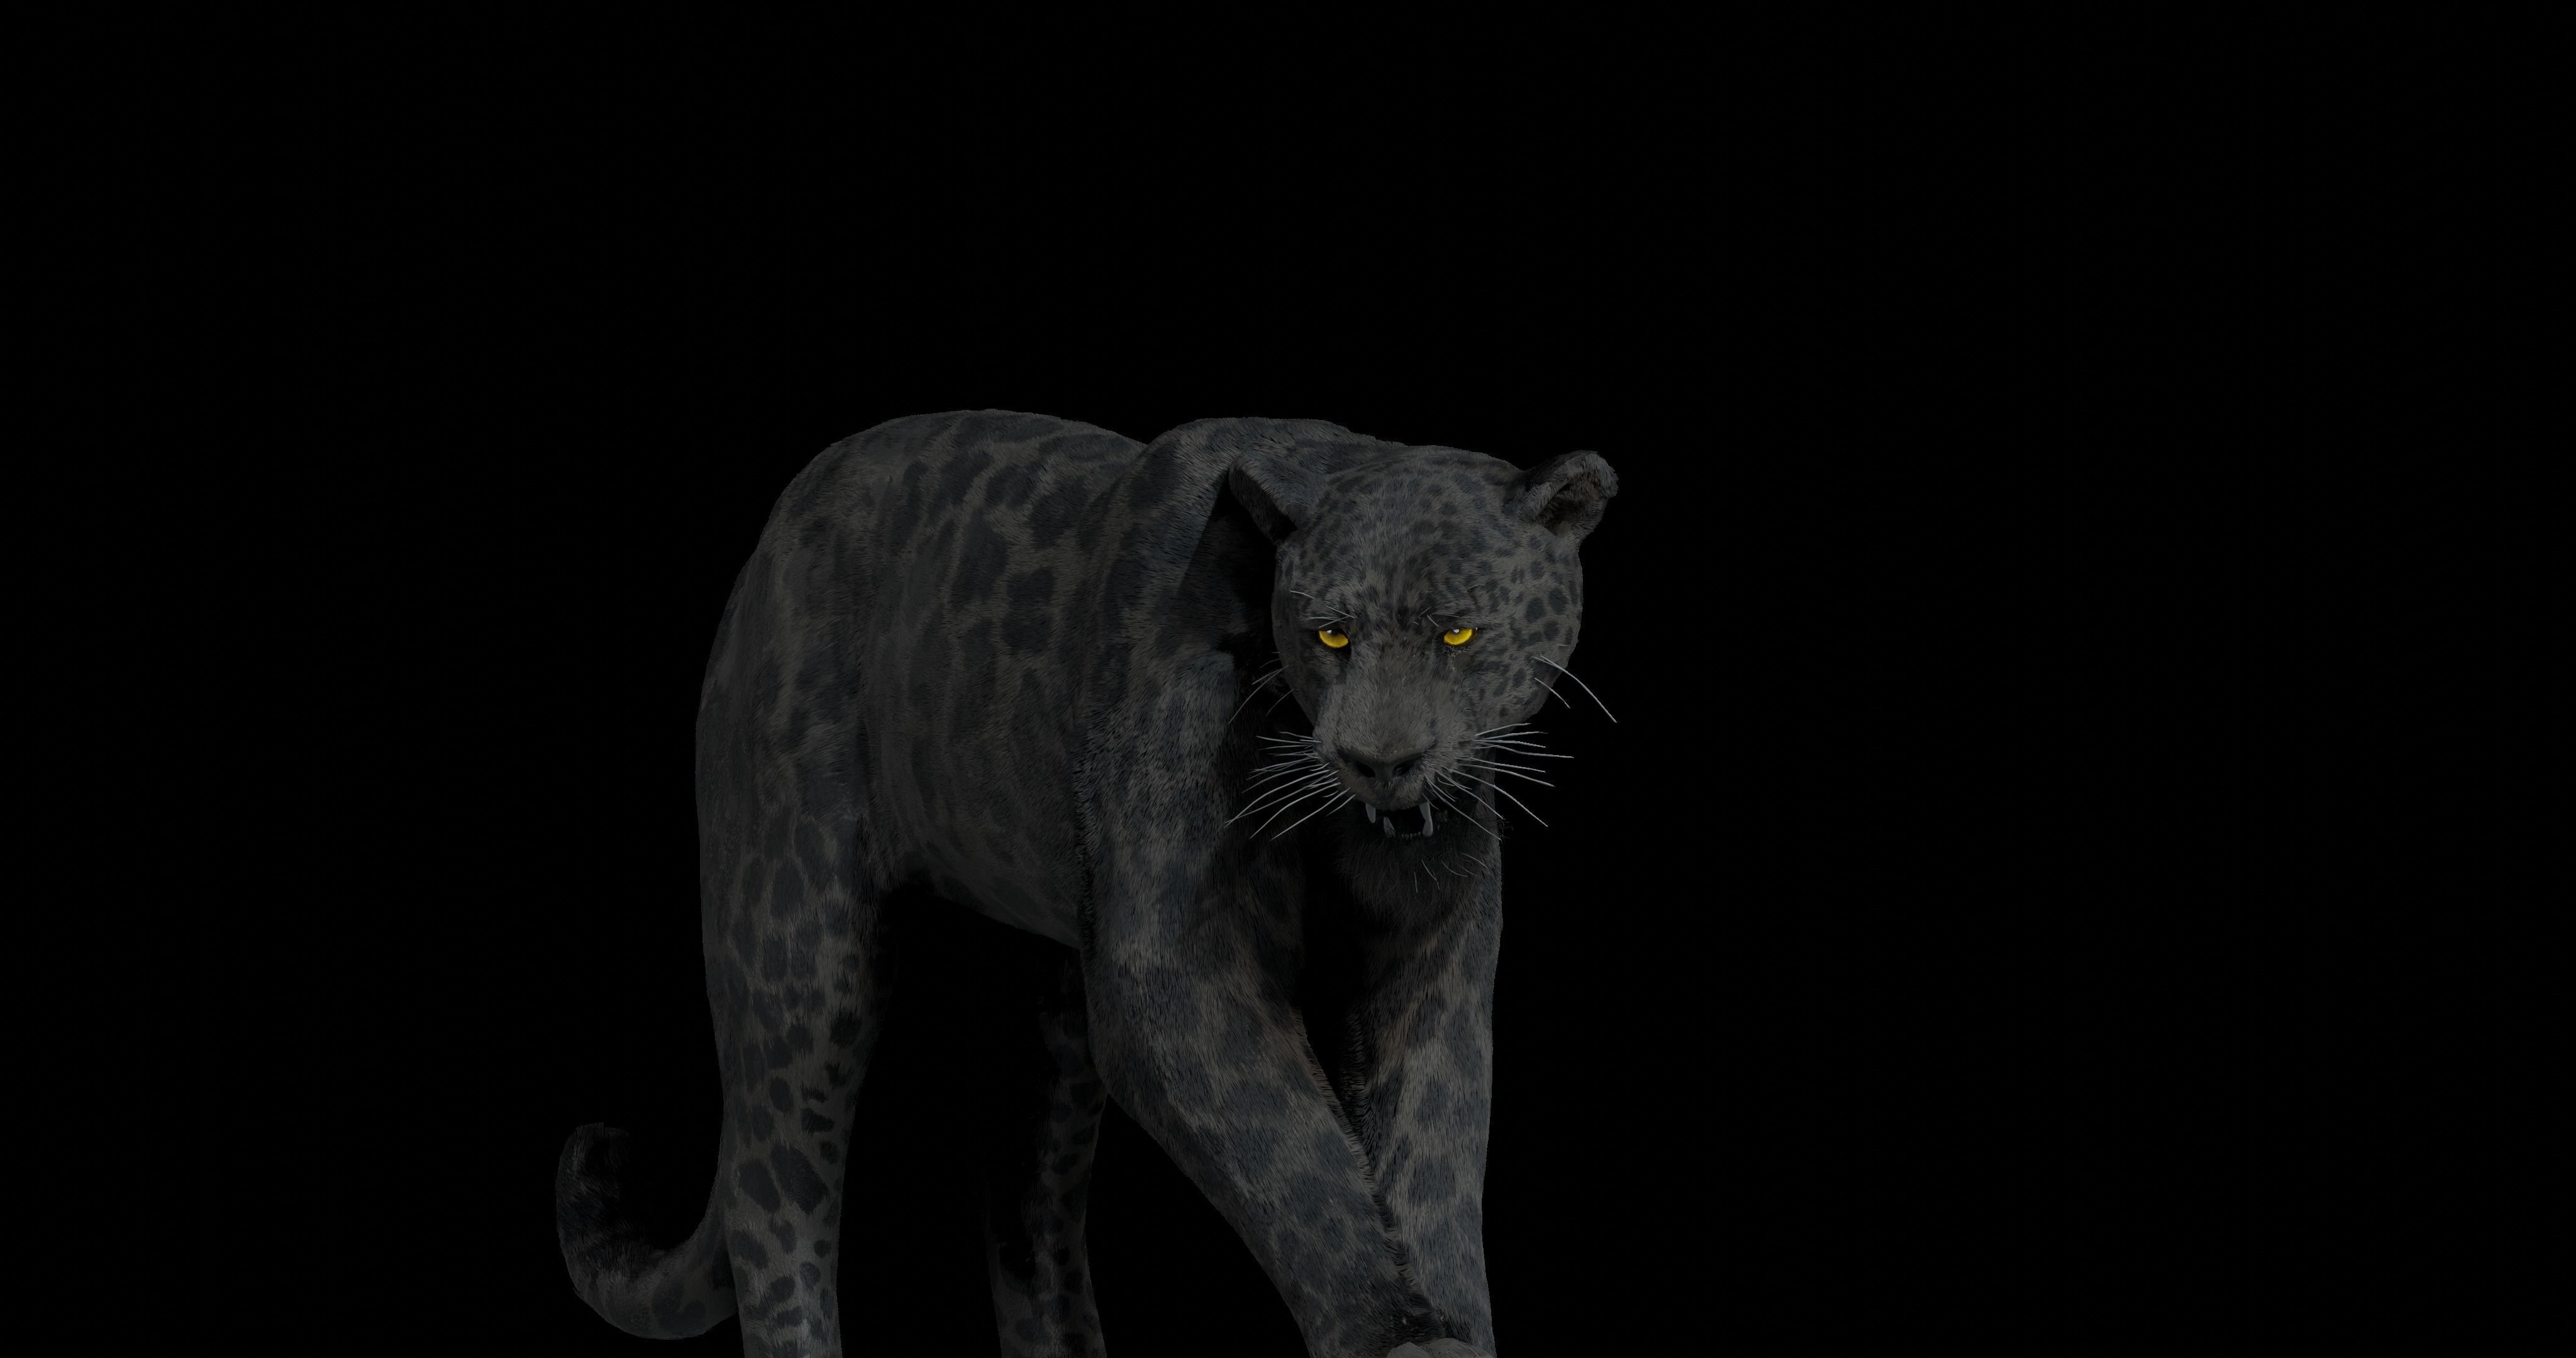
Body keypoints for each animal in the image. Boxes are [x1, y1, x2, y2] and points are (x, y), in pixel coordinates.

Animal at [553, 409, 1617, 1357]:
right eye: (1330, 636)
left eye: (1459, 635)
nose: (1378, 759)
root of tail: (770, 539)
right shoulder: (1175, 968)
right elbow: (1295, 1159)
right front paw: (1393, 1333)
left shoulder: (1423, 969)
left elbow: (1433, 1160)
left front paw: (1450, 1326)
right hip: (798, 943)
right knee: (774, 1200)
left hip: (1048, 1013)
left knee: (1032, 1215)